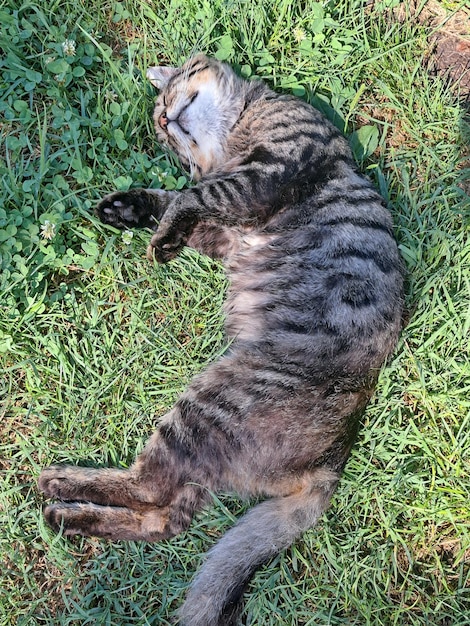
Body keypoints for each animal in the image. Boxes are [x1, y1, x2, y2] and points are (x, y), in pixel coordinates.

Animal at [37, 54, 404, 624]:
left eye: (166, 106)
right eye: (163, 132)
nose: (166, 121)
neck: (232, 135)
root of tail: (333, 463)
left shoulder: (268, 171)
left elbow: (190, 197)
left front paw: (158, 239)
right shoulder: (228, 227)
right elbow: (176, 199)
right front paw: (128, 210)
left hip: (205, 407)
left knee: (152, 492)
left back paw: (59, 489)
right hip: (201, 440)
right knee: (162, 517)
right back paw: (67, 509)